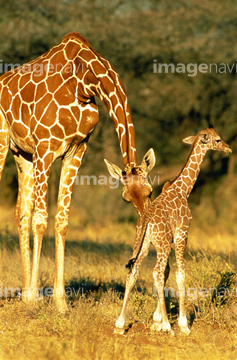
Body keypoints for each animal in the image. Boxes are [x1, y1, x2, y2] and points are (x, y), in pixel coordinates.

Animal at [0, 32, 156, 310]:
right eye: (126, 198)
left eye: (150, 191)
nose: (145, 225)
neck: (84, 82)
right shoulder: (45, 148)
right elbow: (41, 221)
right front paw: (37, 301)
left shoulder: (76, 149)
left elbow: (61, 221)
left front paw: (59, 302)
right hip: (4, 140)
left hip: (22, 154)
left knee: (21, 213)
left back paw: (24, 293)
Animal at [115, 126, 231, 334]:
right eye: (217, 140)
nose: (228, 149)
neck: (183, 189)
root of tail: (145, 219)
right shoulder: (182, 234)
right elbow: (180, 273)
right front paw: (182, 324)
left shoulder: (170, 240)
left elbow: (171, 272)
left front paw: (158, 321)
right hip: (160, 244)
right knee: (156, 272)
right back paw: (168, 327)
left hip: (142, 244)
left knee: (134, 271)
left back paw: (120, 324)